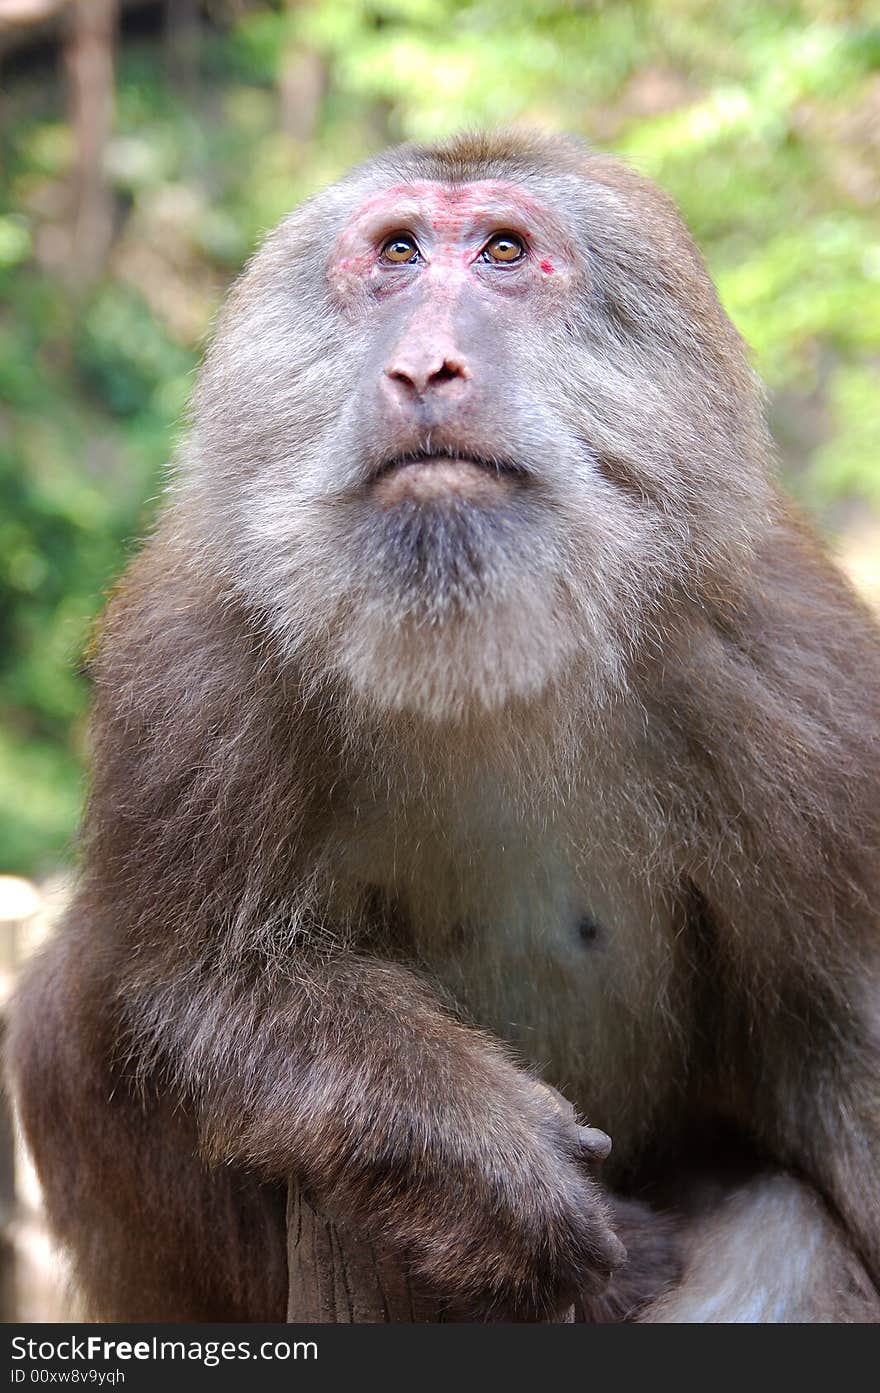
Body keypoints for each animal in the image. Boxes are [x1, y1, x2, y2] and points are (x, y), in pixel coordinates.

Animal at [6, 128, 880, 1314]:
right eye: (400, 254)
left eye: (504, 252)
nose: (424, 368)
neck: (478, 652)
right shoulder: (194, 664)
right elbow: (194, 988)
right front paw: (502, 1173)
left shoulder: (790, 671)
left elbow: (845, 1024)